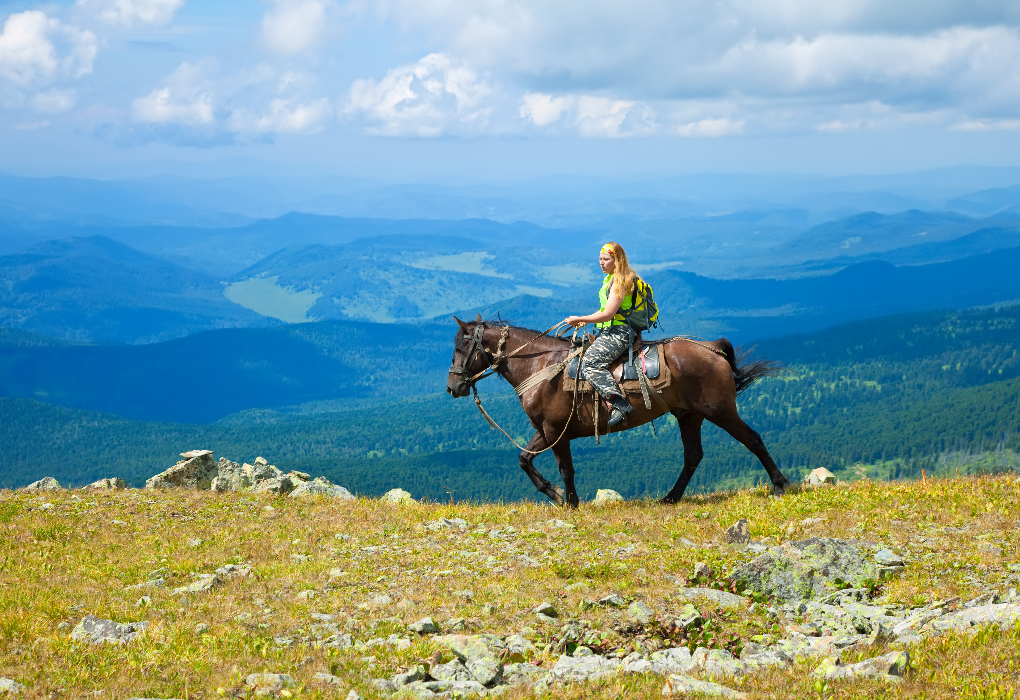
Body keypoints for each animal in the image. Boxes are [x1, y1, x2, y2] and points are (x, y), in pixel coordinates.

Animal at [444, 318, 787, 510]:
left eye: (460, 348)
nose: (453, 386)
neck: (540, 366)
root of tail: (712, 347)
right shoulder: (545, 430)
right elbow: (524, 459)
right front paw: (555, 495)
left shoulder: (556, 431)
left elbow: (566, 469)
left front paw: (570, 503)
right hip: (689, 415)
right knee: (693, 456)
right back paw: (670, 498)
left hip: (720, 411)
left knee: (753, 440)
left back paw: (780, 484)